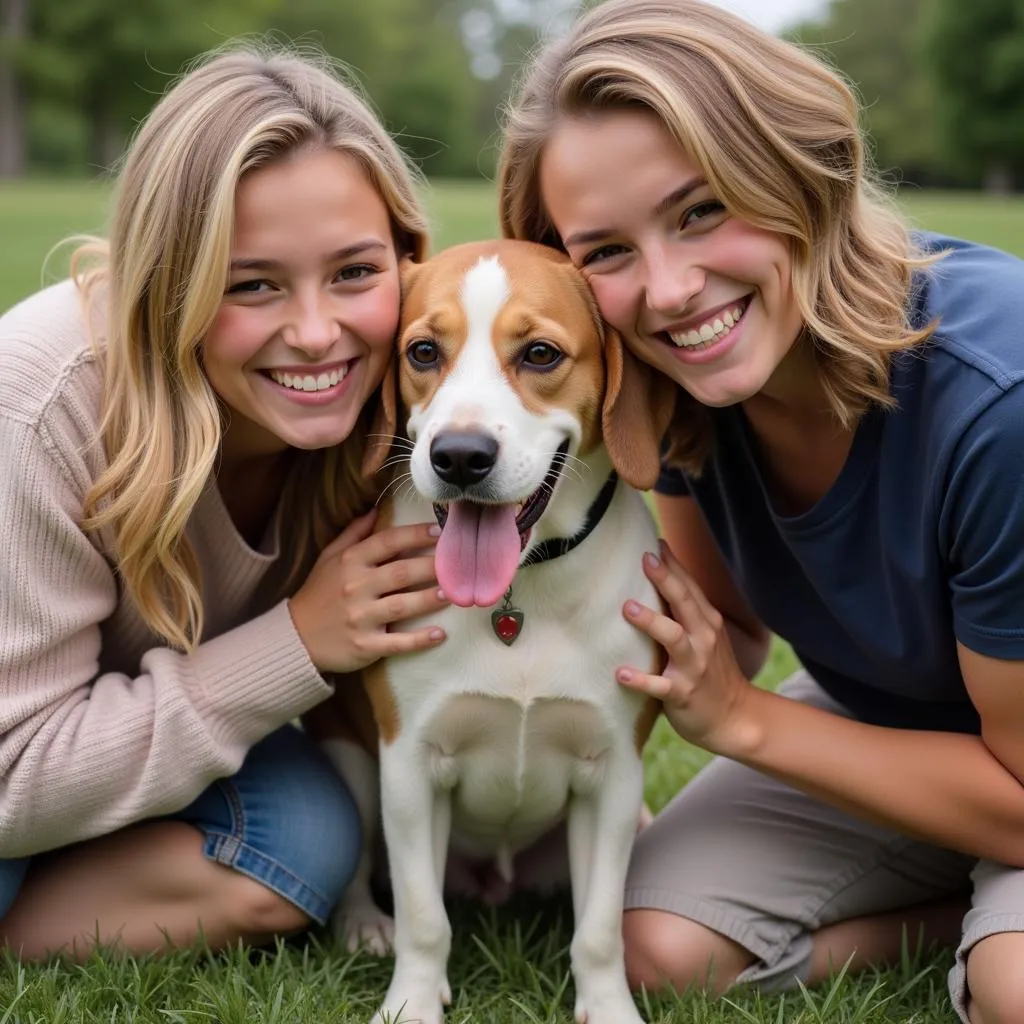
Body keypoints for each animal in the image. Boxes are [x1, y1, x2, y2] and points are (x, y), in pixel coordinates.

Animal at [307, 241, 675, 1024]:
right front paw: (412, 1003)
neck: (518, 594)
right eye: (422, 350)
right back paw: (365, 924)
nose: (460, 455)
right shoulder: (409, 763)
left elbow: (599, 928)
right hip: (351, 761)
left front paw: (608, 1005)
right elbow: (423, 914)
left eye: (539, 354)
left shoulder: (615, 774)